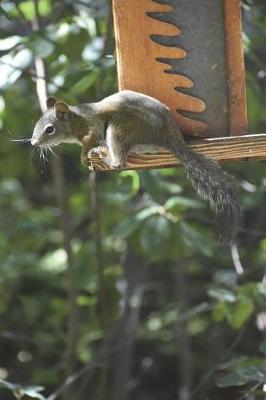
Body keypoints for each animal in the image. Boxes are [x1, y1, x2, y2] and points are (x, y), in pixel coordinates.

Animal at [31, 90, 241, 241]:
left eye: (49, 129)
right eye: (37, 124)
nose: (33, 143)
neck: (76, 121)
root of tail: (169, 137)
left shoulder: (92, 128)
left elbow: (90, 140)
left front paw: (84, 157)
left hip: (121, 128)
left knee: (119, 162)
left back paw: (104, 155)